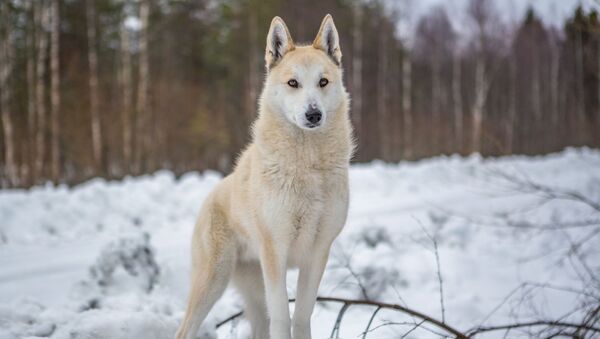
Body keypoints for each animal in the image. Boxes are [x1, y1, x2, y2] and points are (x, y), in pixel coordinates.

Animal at [173, 13, 354, 339]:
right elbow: (282, 318)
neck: (306, 165)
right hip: (212, 282)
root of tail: (209, 198)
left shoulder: (317, 254)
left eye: (323, 82)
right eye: (293, 83)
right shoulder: (275, 254)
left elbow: (301, 317)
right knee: (184, 331)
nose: (313, 114)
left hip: (253, 292)